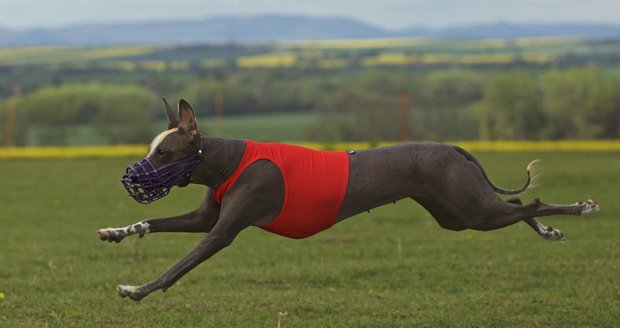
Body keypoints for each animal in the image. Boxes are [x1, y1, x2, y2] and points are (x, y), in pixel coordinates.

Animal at [98, 98, 600, 302]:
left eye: (163, 153)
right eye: (151, 150)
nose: (130, 176)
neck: (226, 159)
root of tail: (454, 148)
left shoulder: (222, 232)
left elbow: (177, 267)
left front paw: (136, 290)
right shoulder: (205, 219)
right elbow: (152, 224)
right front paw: (117, 230)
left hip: (470, 208)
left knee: (529, 205)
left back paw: (577, 211)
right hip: (458, 213)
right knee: (517, 208)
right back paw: (550, 229)